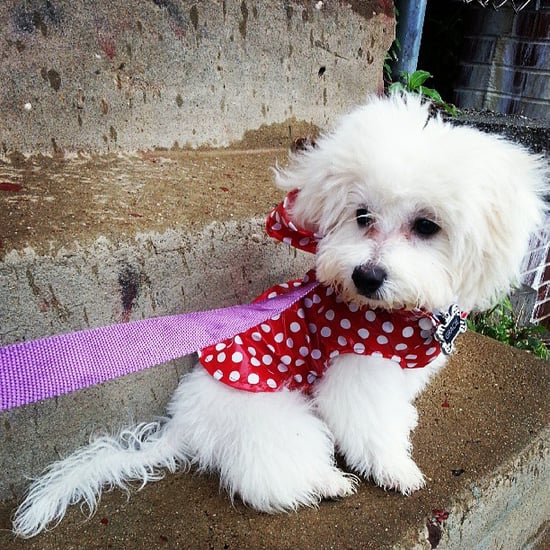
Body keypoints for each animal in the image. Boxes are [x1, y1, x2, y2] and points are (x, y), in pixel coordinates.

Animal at [10, 94, 548, 540]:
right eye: (362, 215)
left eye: (427, 226)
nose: (366, 276)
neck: (394, 314)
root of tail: (184, 424)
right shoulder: (354, 376)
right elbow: (370, 429)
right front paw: (397, 469)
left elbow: (394, 411)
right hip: (275, 422)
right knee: (266, 476)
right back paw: (327, 482)